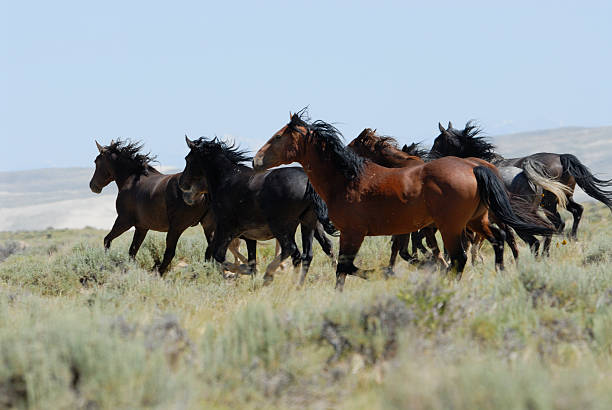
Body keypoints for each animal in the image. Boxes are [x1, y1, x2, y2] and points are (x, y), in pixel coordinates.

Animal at [88, 139, 246, 278]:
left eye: (96, 161)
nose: (93, 186)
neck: (132, 180)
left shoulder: (124, 221)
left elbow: (107, 240)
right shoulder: (141, 227)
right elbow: (132, 251)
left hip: (176, 227)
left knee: (170, 253)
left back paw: (158, 273)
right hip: (208, 226)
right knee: (211, 251)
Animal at [179, 135, 338, 286]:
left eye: (187, 159)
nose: (181, 184)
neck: (227, 179)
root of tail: (307, 181)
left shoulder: (226, 228)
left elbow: (218, 255)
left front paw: (244, 270)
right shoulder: (247, 236)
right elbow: (249, 259)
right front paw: (249, 272)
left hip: (281, 226)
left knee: (292, 249)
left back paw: (269, 275)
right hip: (308, 223)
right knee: (307, 254)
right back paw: (297, 284)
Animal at [251, 111, 552, 292]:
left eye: (277, 136)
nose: (256, 161)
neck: (348, 179)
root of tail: (475, 167)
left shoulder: (353, 232)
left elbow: (346, 267)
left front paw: (387, 274)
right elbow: (350, 267)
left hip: (451, 226)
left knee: (461, 257)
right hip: (477, 220)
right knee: (499, 240)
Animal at [430, 121, 608, 255]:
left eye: (437, 142)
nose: (430, 158)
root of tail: (561, 157)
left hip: (548, 204)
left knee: (556, 224)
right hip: (563, 198)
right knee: (576, 212)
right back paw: (570, 240)